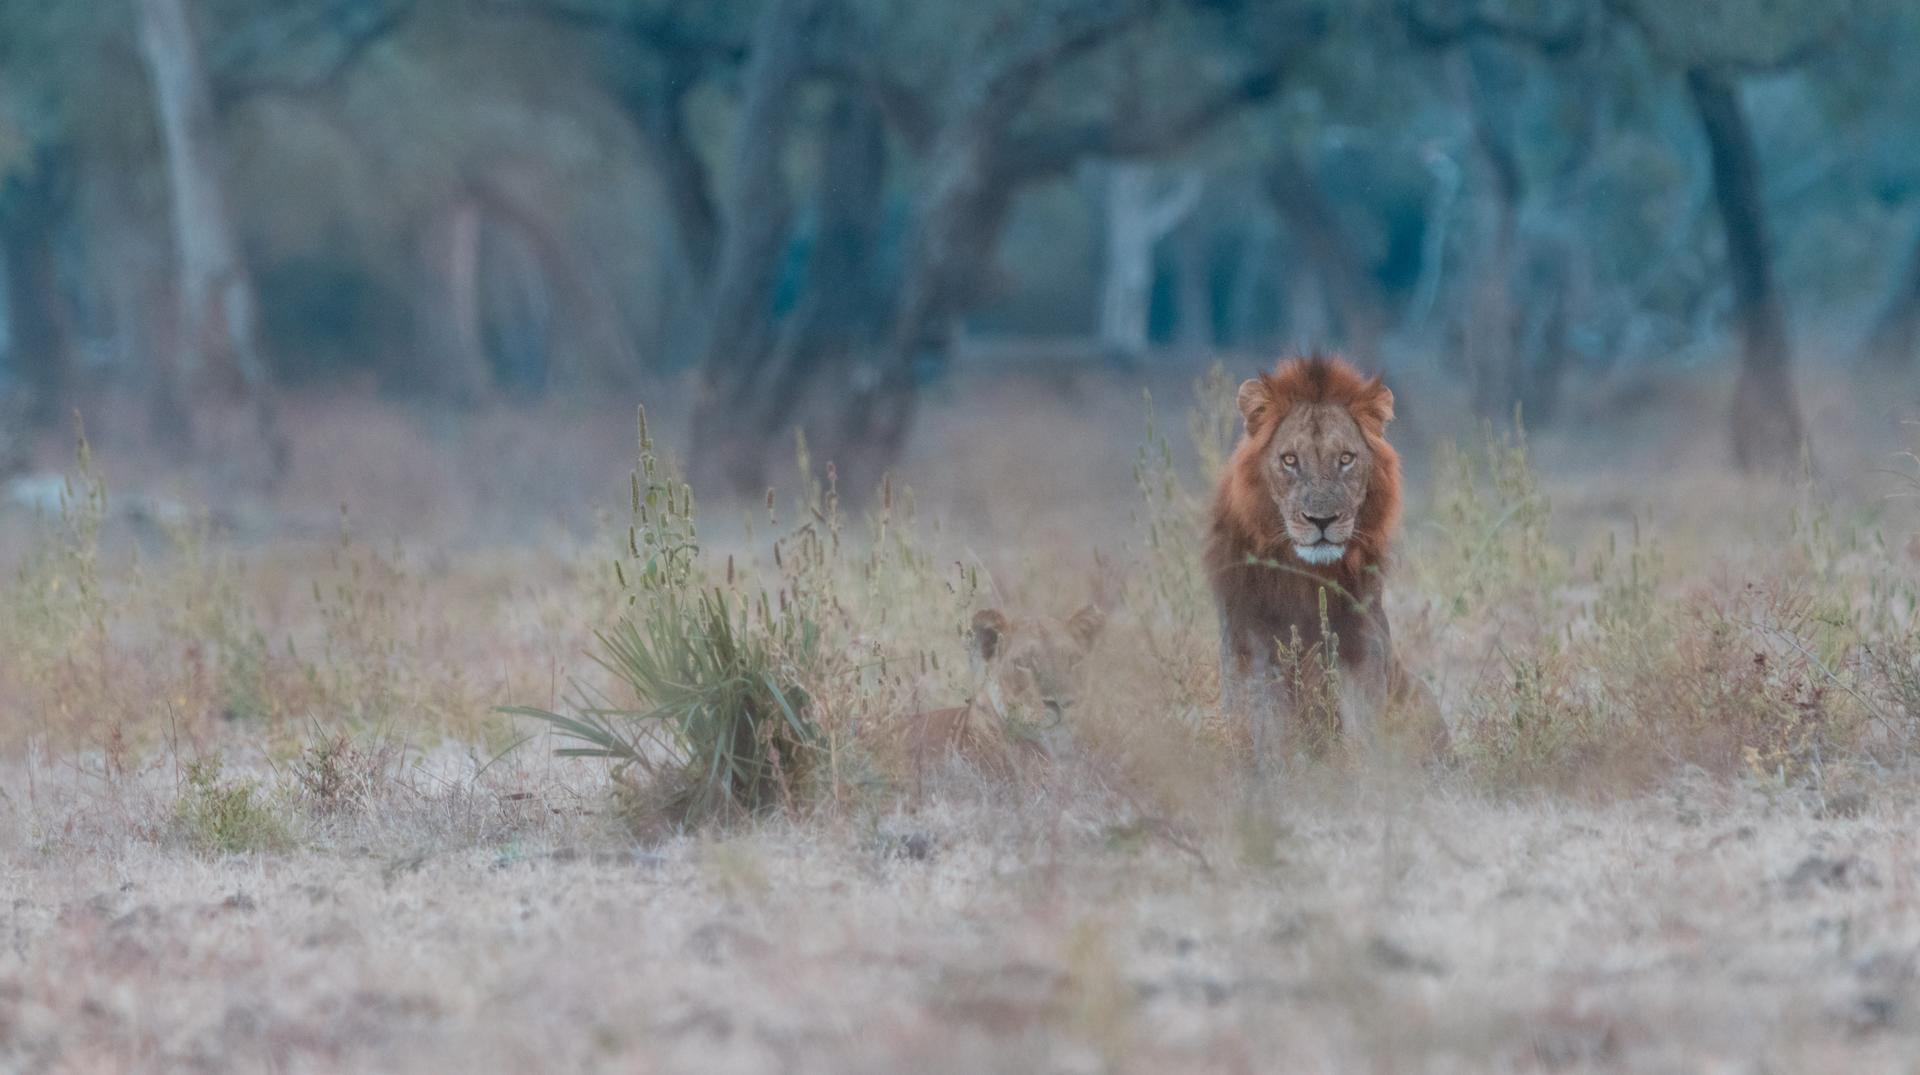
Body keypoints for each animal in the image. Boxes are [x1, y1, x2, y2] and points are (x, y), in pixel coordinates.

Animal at [1205, 354, 1446, 771]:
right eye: (1289, 460)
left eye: (1346, 459)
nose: (1322, 520)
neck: (1307, 577)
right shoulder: (1252, 648)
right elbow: (1271, 727)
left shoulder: (1361, 645)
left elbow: (1363, 728)